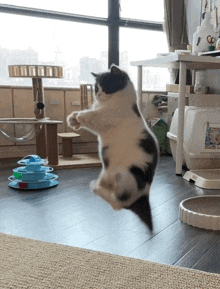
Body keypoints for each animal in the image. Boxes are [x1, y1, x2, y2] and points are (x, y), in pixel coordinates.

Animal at [67, 65, 158, 230]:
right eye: (96, 88)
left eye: (106, 86)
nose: (98, 94)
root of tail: (145, 193)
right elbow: (89, 114)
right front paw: (73, 119)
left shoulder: (106, 117)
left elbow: (92, 115)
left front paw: (79, 117)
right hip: (108, 173)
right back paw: (97, 185)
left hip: (125, 173)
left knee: (118, 203)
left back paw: (96, 188)